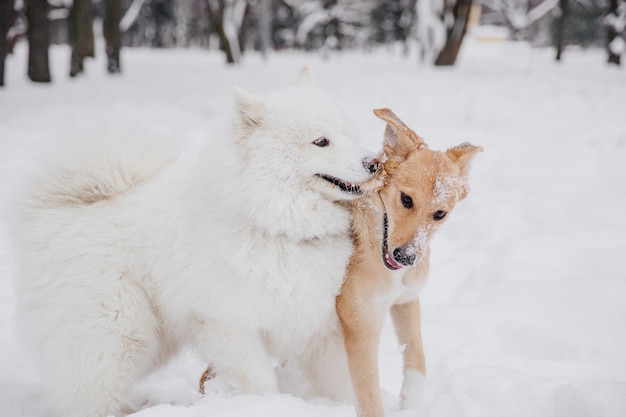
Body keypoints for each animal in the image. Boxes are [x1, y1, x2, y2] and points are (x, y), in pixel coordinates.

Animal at [11, 68, 376, 416]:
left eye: (348, 132)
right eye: (321, 141)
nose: (374, 162)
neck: (272, 222)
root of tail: (56, 210)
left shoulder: (322, 327)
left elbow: (345, 384)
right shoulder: (227, 325)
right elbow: (259, 382)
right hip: (117, 340)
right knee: (85, 398)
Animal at [334, 108, 480, 416]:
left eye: (439, 214)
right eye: (406, 199)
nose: (406, 257)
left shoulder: (406, 300)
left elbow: (416, 355)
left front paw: (411, 404)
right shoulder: (361, 329)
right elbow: (369, 399)